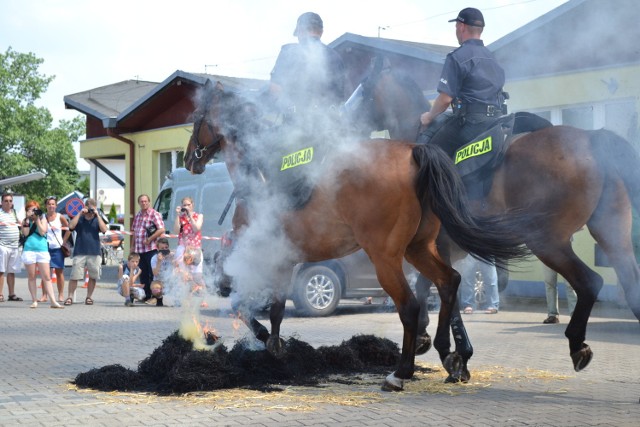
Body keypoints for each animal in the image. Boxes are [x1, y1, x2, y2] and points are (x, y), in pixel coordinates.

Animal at [182, 79, 532, 392]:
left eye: (197, 116)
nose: (187, 159)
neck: (259, 173)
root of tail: (414, 151)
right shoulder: (283, 260)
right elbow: (277, 308)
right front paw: (276, 344)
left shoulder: (260, 257)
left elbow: (241, 303)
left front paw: (266, 338)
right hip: (419, 249)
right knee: (448, 283)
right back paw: (450, 357)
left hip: (386, 258)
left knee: (409, 306)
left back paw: (400, 374)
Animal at [352, 64, 640, 374]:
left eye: (362, 89)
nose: (344, 115)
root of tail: (590, 138)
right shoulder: (436, 248)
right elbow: (430, 287)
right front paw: (430, 338)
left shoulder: (437, 245)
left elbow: (443, 290)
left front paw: (452, 351)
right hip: (612, 236)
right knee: (631, 286)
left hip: (546, 241)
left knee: (590, 282)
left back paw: (577, 344)